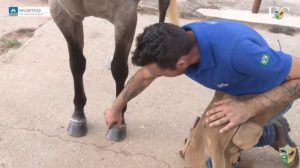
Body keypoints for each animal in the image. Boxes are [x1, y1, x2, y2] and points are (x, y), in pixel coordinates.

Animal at [49, 0, 178, 139]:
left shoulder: (125, 15)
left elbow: (119, 69)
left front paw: (118, 120)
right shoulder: (63, 14)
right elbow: (77, 64)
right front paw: (78, 115)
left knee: (163, 6)